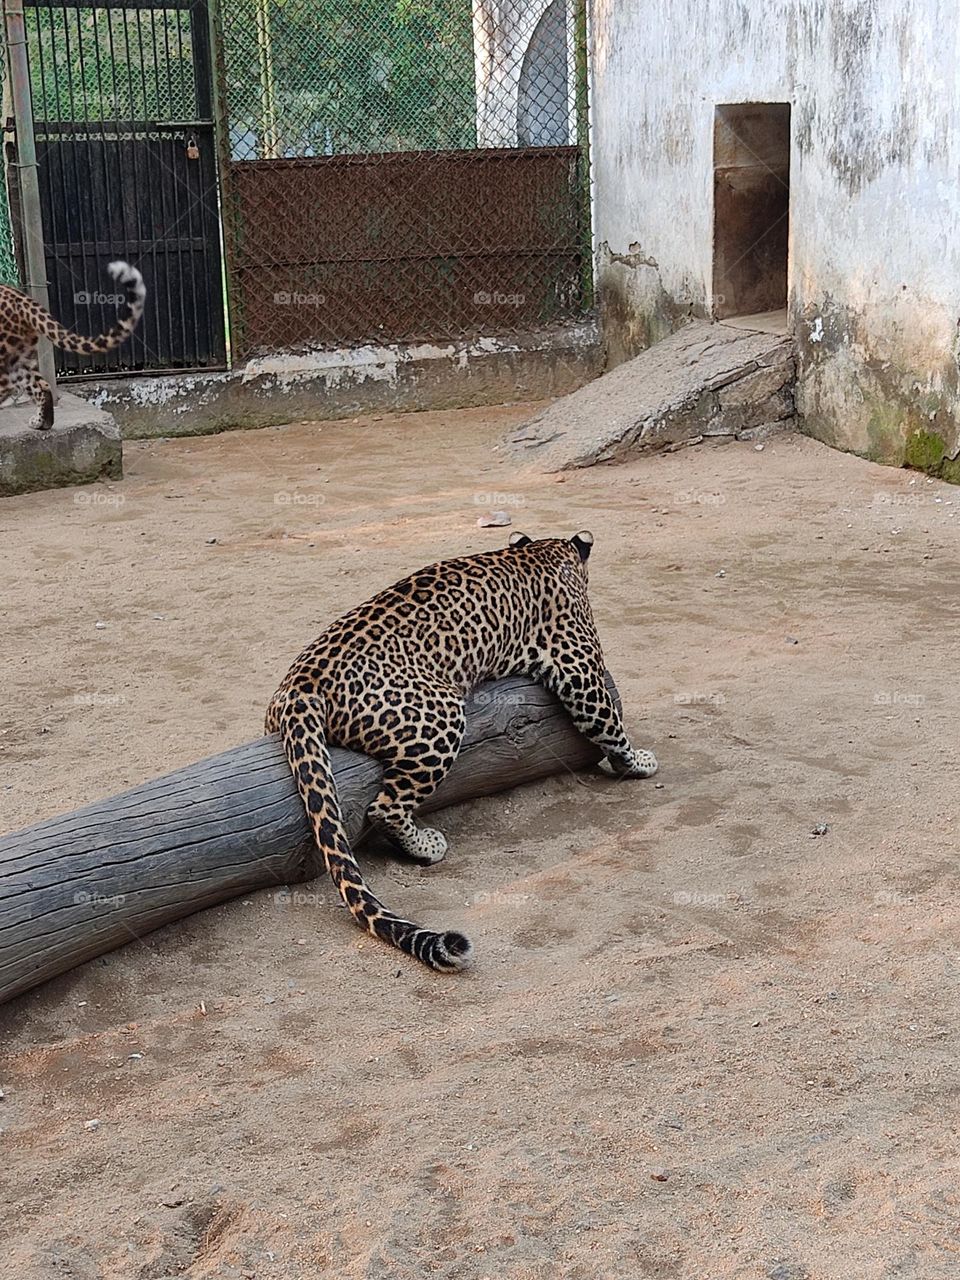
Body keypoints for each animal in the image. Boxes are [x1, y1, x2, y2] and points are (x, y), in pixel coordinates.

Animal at [265, 530, 658, 972]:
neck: (543, 550)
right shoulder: (581, 669)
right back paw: (426, 846)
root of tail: (300, 685)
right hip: (442, 717)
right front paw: (637, 761)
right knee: (383, 808)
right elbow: (610, 723)